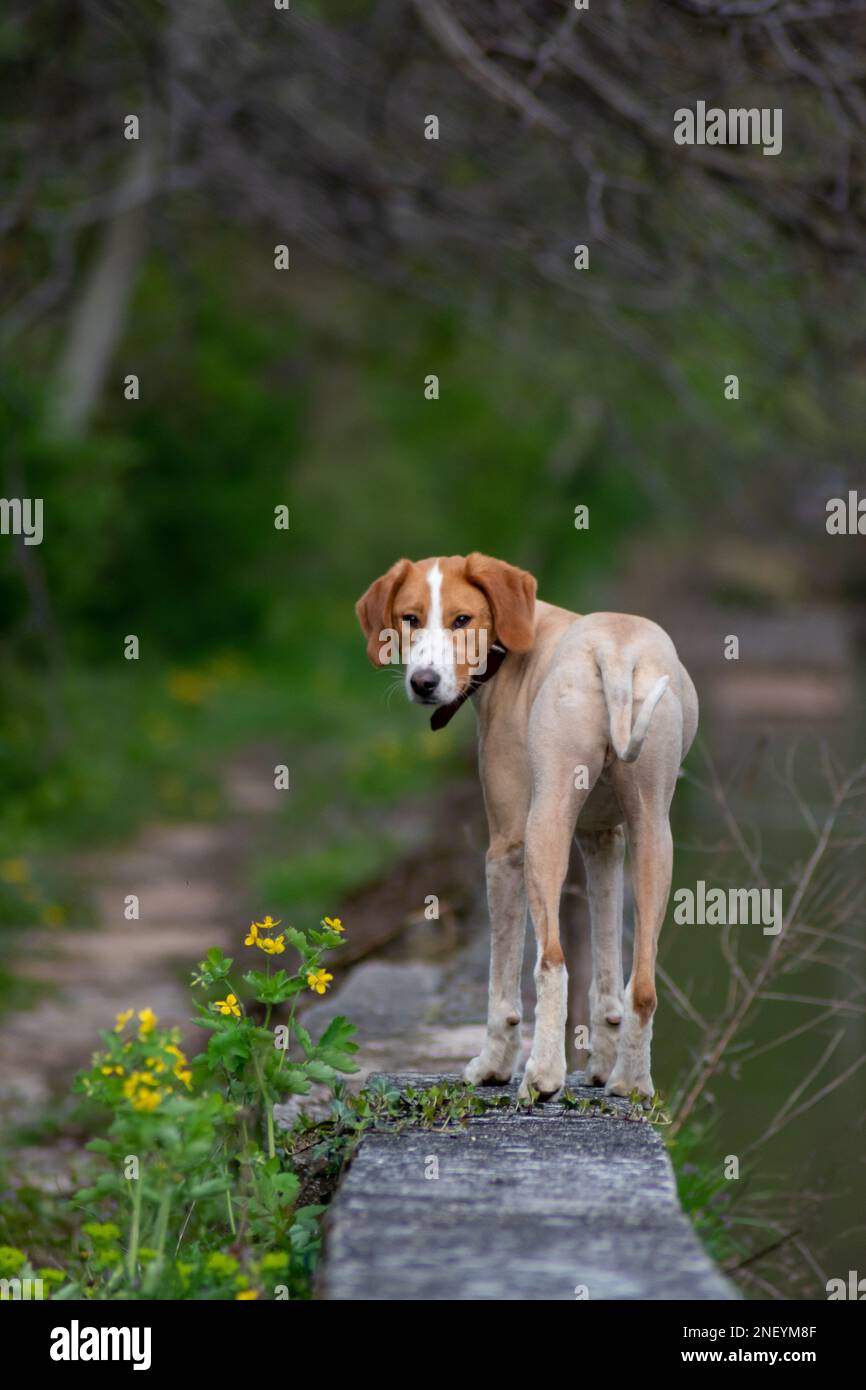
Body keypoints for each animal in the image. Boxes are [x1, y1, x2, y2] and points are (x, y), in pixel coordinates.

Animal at [355, 547, 700, 1100]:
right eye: (409, 618)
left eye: (462, 619)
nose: (423, 683)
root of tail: (616, 651)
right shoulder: (604, 840)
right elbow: (606, 970)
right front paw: (602, 1064)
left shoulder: (504, 849)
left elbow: (503, 981)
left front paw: (492, 1066)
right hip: (653, 837)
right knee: (641, 984)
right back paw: (630, 1083)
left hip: (544, 831)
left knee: (551, 961)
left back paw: (542, 1075)